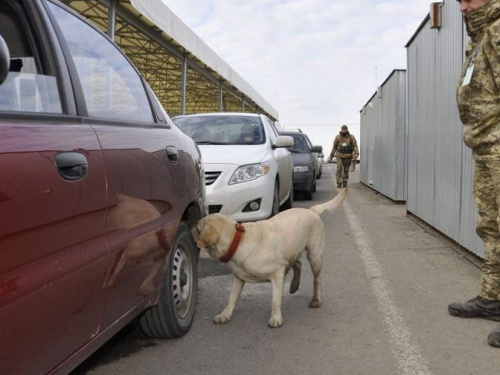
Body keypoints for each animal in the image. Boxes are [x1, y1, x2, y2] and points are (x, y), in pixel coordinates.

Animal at [191, 189, 348, 328]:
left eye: (198, 227)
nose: (190, 225)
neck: (238, 239)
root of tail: (312, 210)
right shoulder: (238, 278)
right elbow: (231, 298)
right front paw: (225, 314)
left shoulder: (277, 272)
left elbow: (274, 300)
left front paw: (276, 318)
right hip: (292, 250)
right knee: (297, 263)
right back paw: (294, 285)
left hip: (314, 255)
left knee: (317, 279)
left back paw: (316, 300)